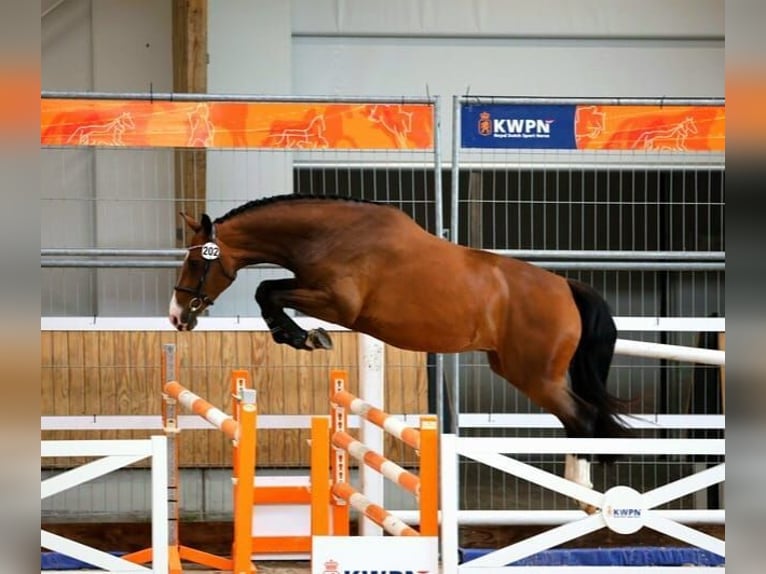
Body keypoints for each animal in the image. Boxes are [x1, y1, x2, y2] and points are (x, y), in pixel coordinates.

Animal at [169, 194, 632, 511]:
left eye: (195, 264)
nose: (177, 316)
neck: (329, 235)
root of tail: (566, 287)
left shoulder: (338, 304)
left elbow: (267, 290)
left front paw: (303, 336)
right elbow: (270, 290)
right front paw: (302, 335)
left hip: (534, 375)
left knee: (583, 418)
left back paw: (583, 495)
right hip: (519, 369)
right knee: (578, 419)